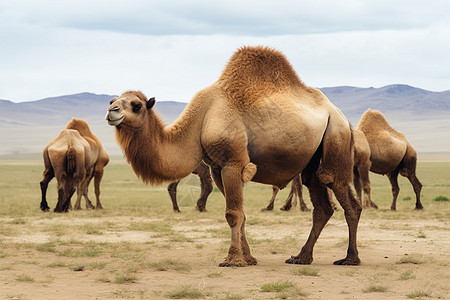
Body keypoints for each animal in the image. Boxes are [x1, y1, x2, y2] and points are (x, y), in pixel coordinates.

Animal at [106, 45, 362, 266]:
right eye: (112, 100)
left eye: (137, 105)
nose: (111, 111)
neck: (202, 118)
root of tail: (339, 113)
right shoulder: (217, 167)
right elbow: (241, 213)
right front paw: (249, 258)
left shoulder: (233, 161)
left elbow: (232, 213)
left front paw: (233, 260)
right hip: (313, 157)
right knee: (322, 205)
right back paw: (301, 257)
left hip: (335, 135)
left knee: (342, 194)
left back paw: (350, 258)